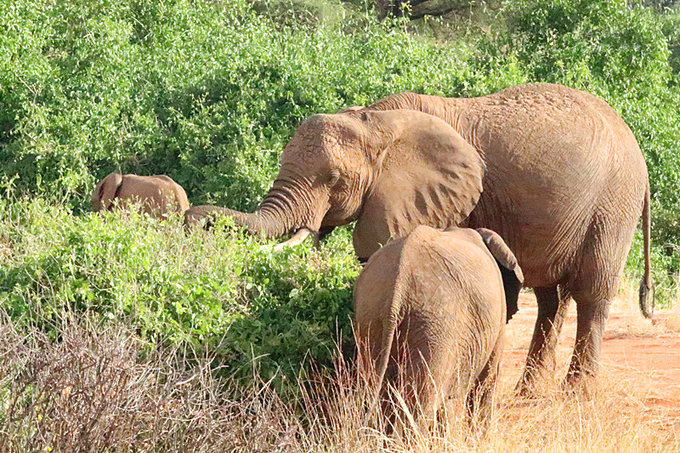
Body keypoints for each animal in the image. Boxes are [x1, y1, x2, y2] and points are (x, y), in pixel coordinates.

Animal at [187, 83, 652, 394]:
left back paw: (575, 398)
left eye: (333, 180)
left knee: (592, 293)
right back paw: (528, 395)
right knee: (549, 298)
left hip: (613, 204)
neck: (375, 121)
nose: (192, 219)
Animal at [354, 224, 524, 430]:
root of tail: (399, 282)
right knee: (420, 406)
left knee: (380, 395)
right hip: (435, 324)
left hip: (371, 316)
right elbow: (484, 386)